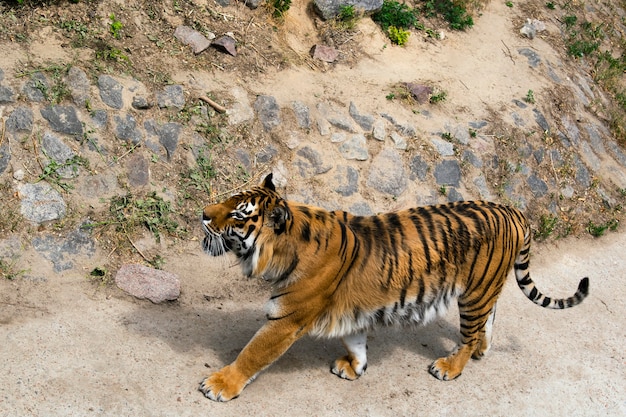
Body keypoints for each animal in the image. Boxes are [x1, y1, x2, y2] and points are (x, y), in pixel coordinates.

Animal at [197, 172, 588, 400]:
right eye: (228, 198)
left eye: (237, 214)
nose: (202, 213)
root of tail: (512, 210)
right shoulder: (350, 311)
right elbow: (355, 341)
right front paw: (354, 368)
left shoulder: (286, 319)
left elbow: (253, 353)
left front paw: (220, 384)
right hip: (484, 290)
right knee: (489, 322)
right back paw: (480, 351)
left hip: (474, 294)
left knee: (471, 332)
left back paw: (451, 367)